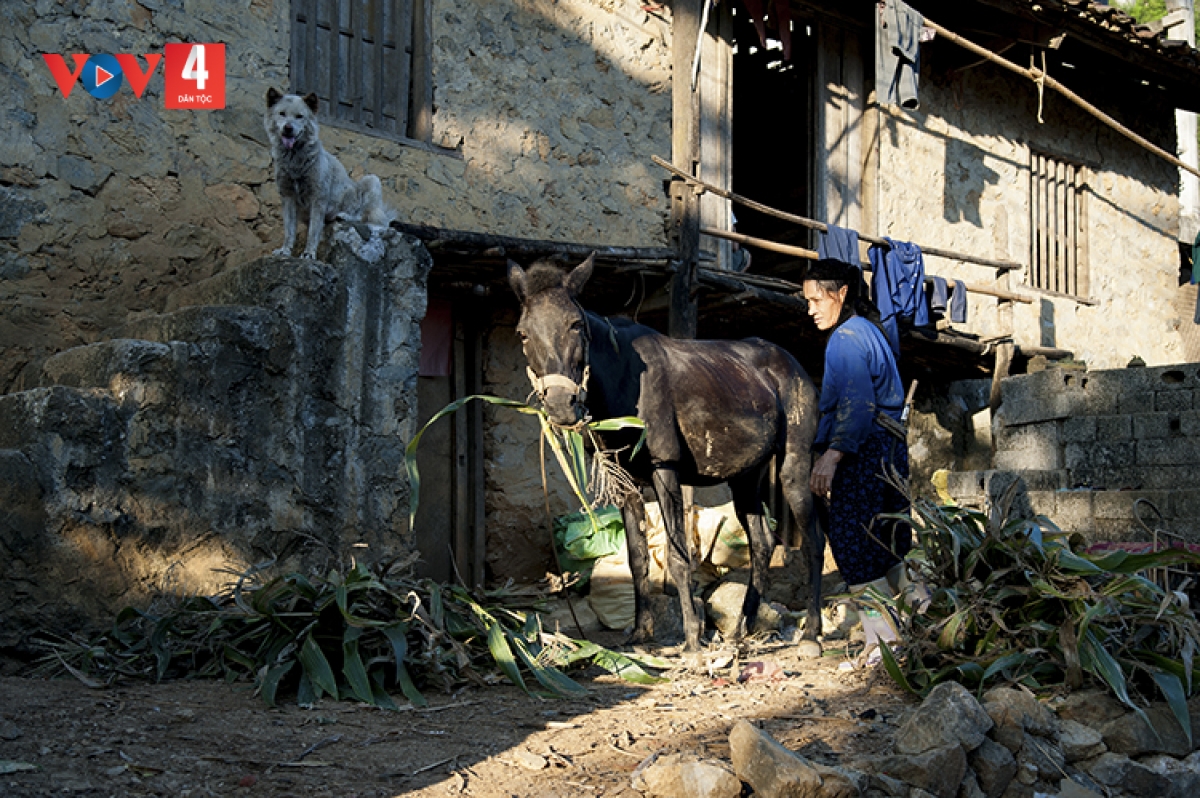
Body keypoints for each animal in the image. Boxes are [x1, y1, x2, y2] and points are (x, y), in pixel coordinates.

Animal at [508, 254, 823, 652]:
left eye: (576, 325)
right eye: (523, 333)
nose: (562, 406)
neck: (624, 379)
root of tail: (794, 365)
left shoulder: (665, 470)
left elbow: (678, 557)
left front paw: (691, 640)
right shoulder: (625, 482)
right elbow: (637, 558)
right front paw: (640, 633)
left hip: (794, 465)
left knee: (813, 542)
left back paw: (811, 633)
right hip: (745, 478)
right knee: (762, 545)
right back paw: (742, 628)